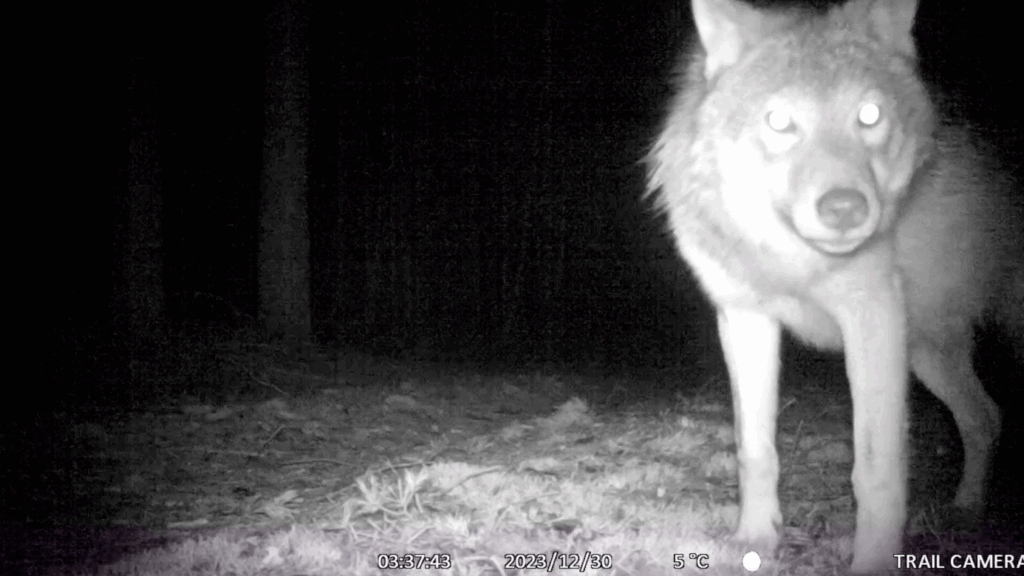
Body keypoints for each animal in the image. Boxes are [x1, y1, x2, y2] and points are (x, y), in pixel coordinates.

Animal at [645, 0, 1022, 572]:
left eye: (869, 115)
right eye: (780, 121)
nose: (845, 208)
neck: (792, 260)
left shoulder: (873, 319)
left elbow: (876, 471)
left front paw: (872, 562)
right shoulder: (744, 318)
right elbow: (754, 449)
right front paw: (755, 540)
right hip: (927, 353)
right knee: (985, 417)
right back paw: (966, 509)